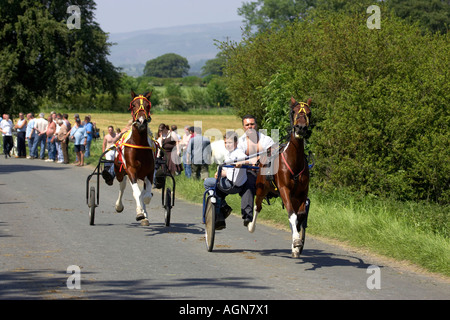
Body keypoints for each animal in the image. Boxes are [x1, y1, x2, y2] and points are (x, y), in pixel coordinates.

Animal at [114, 89, 156, 225]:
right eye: (133, 105)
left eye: (148, 106)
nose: (141, 121)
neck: (139, 146)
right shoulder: (131, 170)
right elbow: (136, 193)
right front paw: (139, 213)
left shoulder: (150, 172)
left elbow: (146, 195)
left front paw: (144, 212)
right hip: (120, 171)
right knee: (122, 186)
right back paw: (119, 206)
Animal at [251, 97, 312, 258]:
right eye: (294, 111)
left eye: (309, 112)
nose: (301, 128)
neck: (294, 161)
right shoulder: (284, 190)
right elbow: (292, 214)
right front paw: (296, 241)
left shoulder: (302, 193)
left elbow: (300, 216)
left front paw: (296, 245)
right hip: (261, 188)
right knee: (257, 206)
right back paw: (251, 226)